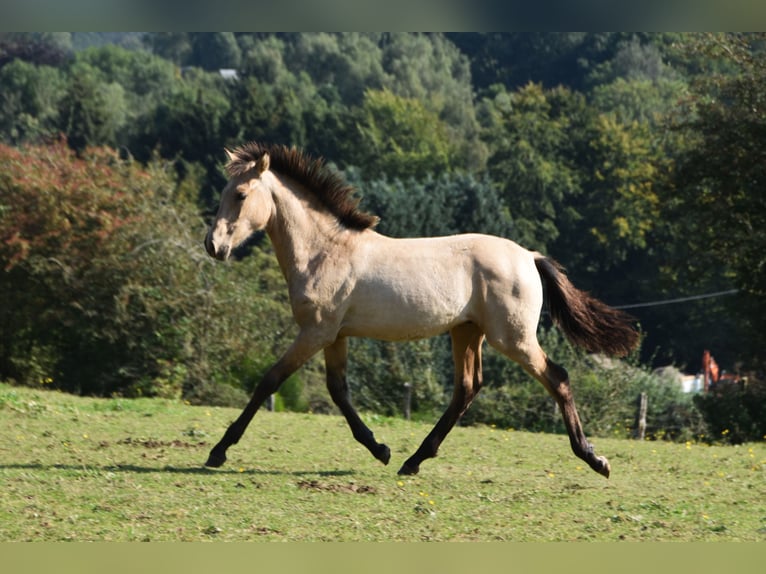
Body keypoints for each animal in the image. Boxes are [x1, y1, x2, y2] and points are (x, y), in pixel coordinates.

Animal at [201, 142, 640, 480]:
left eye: (240, 195)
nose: (213, 246)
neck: (324, 251)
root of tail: (530, 257)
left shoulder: (315, 333)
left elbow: (269, 381)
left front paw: (218, 451)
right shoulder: (334, 336)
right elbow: (338, 391)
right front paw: (380, 448)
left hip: (512, 338)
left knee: (557, 378)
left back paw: (594, 458)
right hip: (467, 332)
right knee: (467, 389)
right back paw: (413, 460)